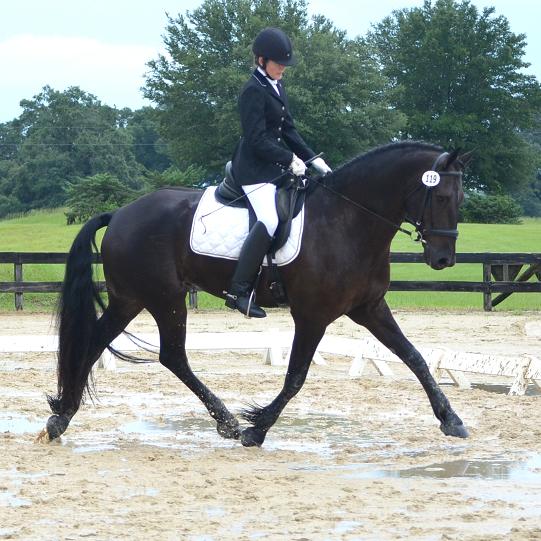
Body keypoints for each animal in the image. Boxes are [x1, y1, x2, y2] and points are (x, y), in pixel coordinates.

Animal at [44, 141, 470, 446]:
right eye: (442, 198)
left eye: (461, 199)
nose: (444, 259)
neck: (347, 220)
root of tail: (120, 213)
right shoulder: (313, 315)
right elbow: (296, 376)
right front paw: (257, 427)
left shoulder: (370, 308)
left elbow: (415, 357)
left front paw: (452, 420)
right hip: (165, 298)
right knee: (172, 356)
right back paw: (229, 423)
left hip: (130, 300)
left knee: (96, 342)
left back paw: (62, 415)